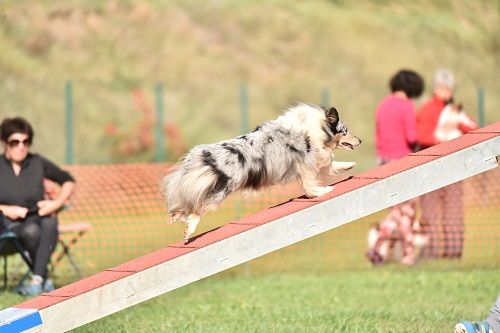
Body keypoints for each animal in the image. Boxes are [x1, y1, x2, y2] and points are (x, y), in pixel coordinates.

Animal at [162, 103, 362, 239]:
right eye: (346, 131)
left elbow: (331, 166)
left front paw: (349, 165)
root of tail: (203, 156)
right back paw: (189, 230)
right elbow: (312, 182)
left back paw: (175, 216)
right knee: (197, 211)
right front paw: (323, 191)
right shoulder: (306, 163)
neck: (317, 127)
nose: (360, 140)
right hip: (219, 190)